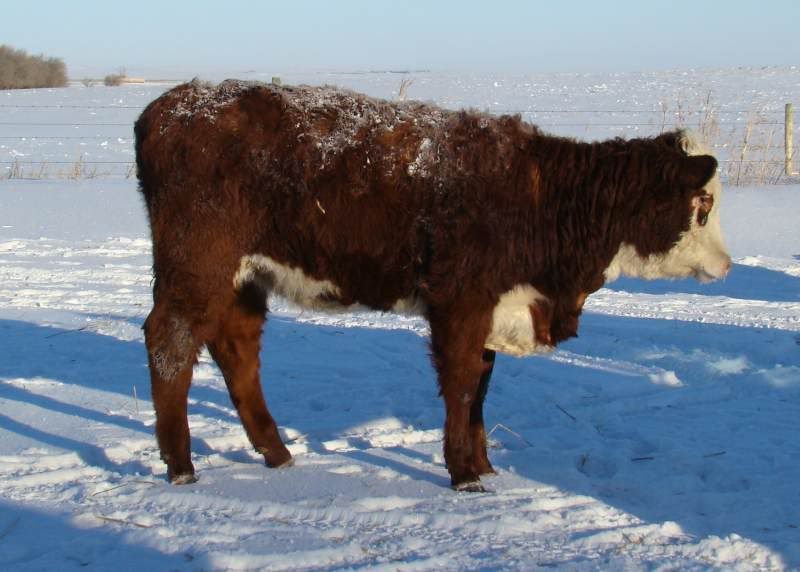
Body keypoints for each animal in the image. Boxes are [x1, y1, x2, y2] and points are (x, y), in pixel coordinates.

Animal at [134, 79, 730, 492]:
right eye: (702, 203)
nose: (726, 265)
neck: (540, 196)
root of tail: (174, 103)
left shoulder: (493, 310)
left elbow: (482, 389)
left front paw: (485, 465)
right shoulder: (461, 304)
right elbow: (462, 385)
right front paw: (464, 475)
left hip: (241, 279)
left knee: (236, 349)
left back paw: (277, 454)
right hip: (197, 267)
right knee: (170, 343)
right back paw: (182, 466)